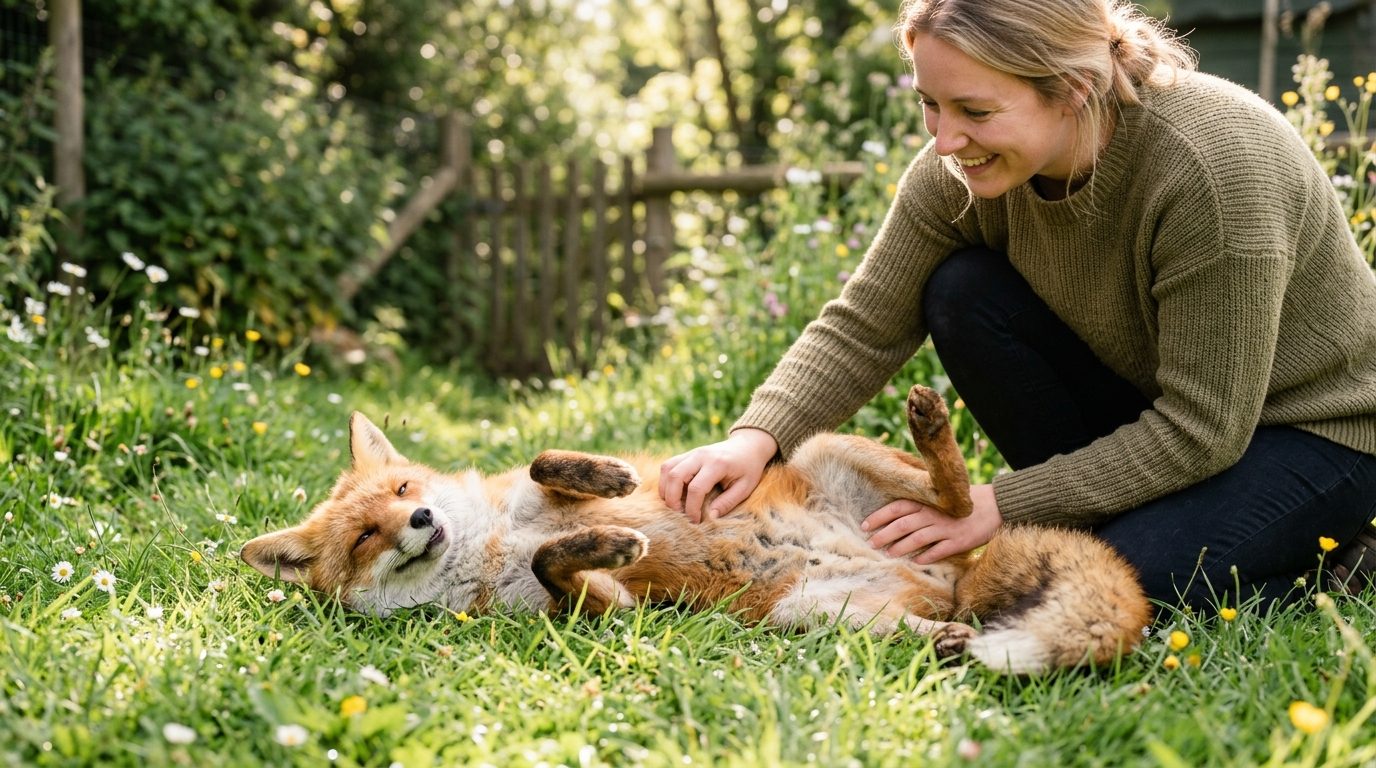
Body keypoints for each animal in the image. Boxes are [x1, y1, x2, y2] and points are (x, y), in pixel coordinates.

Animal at [240, 385, 1151, 674]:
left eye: (404, 488)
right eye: (365, 538)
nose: (421, 521)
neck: (487, 545)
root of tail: (951, 574)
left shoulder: (530, 502)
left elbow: (540, 465)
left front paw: (609, 478)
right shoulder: (598, 611)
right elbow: (557, 566)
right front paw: (606, 542)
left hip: (831, 451)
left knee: (960, 501)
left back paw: (935, 432)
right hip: (815, 616)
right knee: (938, 622)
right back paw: (953, 642)